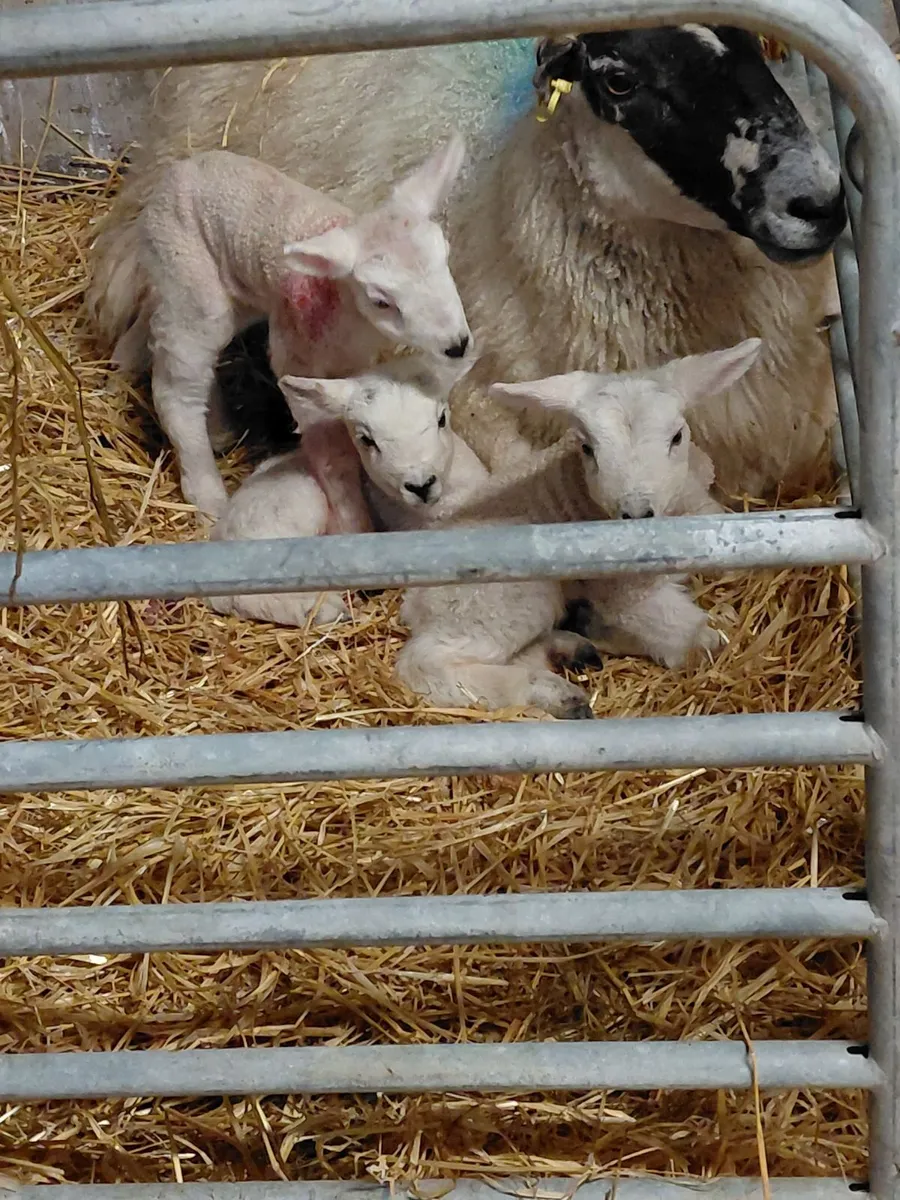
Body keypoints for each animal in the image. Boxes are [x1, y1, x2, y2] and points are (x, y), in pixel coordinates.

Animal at [103, 139, 472, 518]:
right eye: (381, 301)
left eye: (446, 257)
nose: (458, 344)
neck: (341, 305)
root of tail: (175, 171)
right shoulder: (295, 356)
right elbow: (327, 444)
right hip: (192, 279)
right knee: (176, 388)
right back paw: (207, 493)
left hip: (216, 289)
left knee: (156, 324)